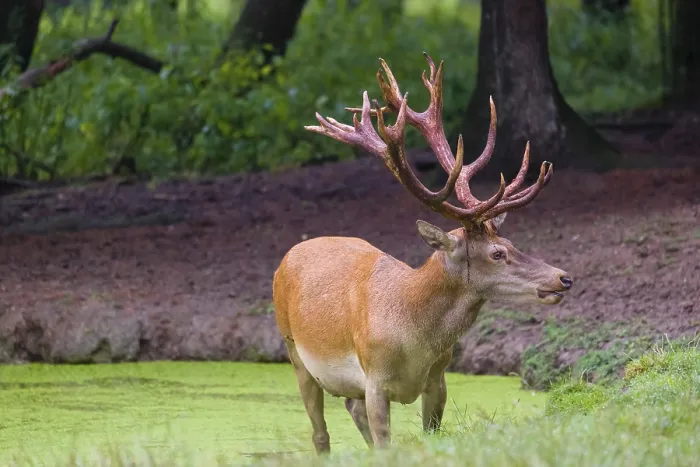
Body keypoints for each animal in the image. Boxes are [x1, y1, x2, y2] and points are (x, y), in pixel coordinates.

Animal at [272, 53, 573, 454]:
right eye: (496, 253)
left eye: (512, 244)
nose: (563, 277)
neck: (414, 342)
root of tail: (291, 253)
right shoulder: (374, 378)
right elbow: (383, 440)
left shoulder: (439, 377)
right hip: (294, 350)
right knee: (320, 432)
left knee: (351, 409)